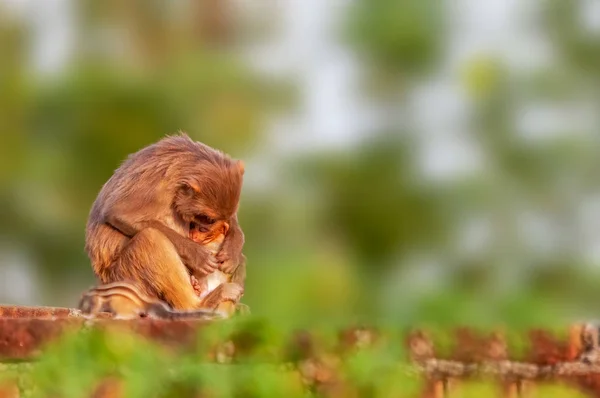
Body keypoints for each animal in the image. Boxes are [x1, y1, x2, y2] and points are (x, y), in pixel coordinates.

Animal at [75, 280, 225, 320]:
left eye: (81, 302)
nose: (80, 308)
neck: (92, 293)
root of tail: (146, 302)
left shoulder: (96, 300)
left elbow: (95, 309)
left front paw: (87, 315)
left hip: (118, 304)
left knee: (132, 315)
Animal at [84, 134, 246, 310]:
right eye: (208, 219)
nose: (199, 233)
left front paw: (232, 250)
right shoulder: (156, 183)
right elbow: (118, 213)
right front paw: (197, 256)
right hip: (125, 278)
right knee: (150, 238)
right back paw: (200, 304)